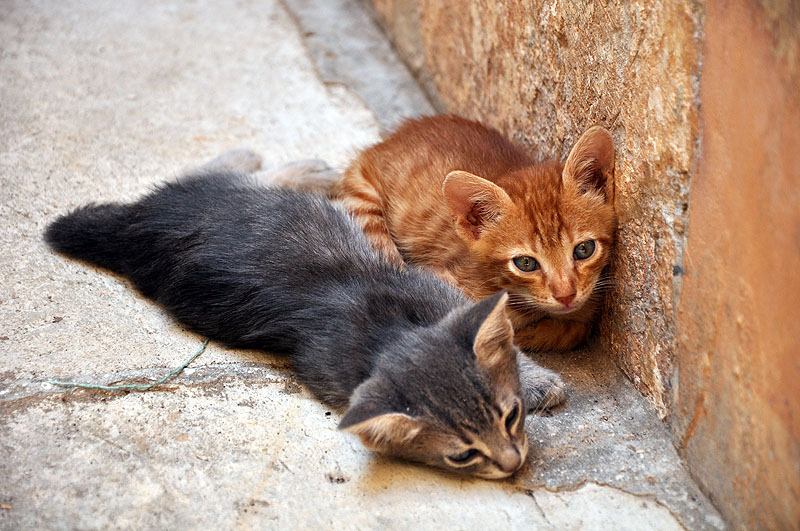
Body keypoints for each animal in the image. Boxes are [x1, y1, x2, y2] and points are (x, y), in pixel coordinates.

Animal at [266, 114, 616, 352]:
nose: (566, 294)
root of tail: (389, 141)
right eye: (526, 264)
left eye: (583, 250)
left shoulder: (587, 304)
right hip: (365, 207)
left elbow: (573, 327)